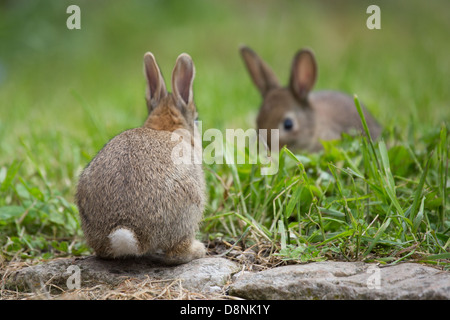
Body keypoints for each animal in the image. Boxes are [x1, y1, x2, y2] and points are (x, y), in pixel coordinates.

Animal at [75, 52, 206, 264]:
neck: (167, 127)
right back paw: (198, 249)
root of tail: (134, 234)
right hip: (190, 205)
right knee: (175, 254)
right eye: (196, 119)